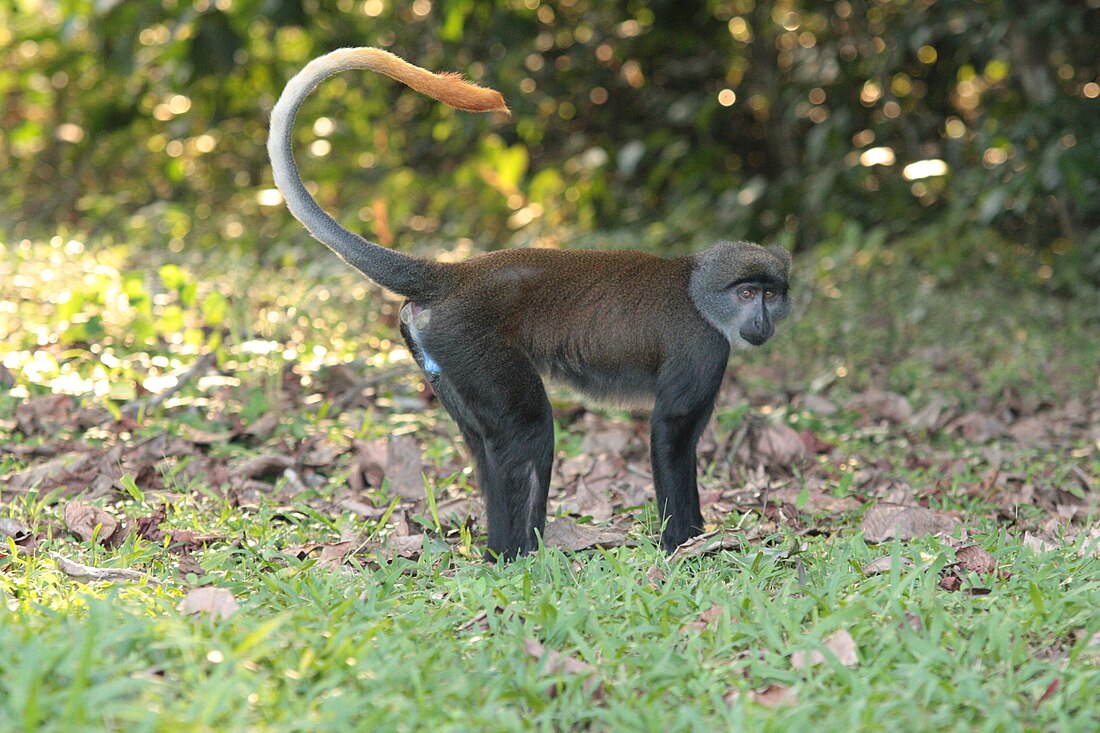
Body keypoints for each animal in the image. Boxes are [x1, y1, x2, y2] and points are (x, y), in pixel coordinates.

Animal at [270, 47, 796, 559]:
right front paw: (683, 544)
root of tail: (455, 274)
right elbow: (671, 434)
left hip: (442, 355)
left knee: (486, 442)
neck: (697, 289)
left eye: (771, 294)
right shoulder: (703, 348)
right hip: (469, 341)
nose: (762, 319)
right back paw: (517, 554)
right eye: (747, 293)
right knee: (527, 428)